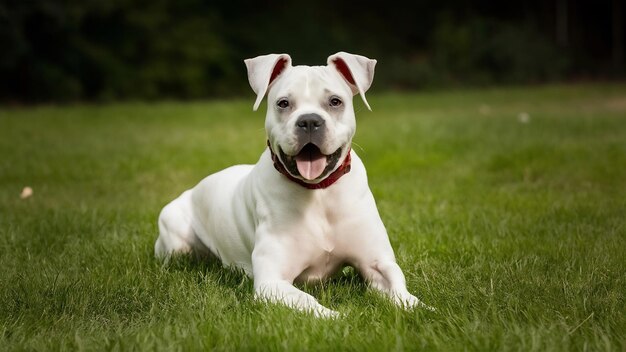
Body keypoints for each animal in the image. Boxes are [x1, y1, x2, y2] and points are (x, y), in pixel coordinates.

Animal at [156, 53, 428, 320]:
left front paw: (425, 310)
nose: (309, 121)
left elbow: (402, 291)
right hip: (174, 233)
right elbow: (308, 301)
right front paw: (339, 317)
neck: (319, 192)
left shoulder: (377, 263)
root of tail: (193, 190)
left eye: (335, 101)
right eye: (283, 103)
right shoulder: (272, 282)